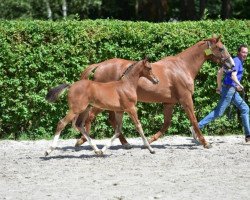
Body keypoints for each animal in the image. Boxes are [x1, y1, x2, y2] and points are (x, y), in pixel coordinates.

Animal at [75, 36, 234, 148]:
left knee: (111, 120)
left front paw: (150, 140)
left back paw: (125, 143)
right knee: (90, 117)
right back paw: (82, 140)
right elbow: (193, 120)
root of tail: (101, 65)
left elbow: (166, 124)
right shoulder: (186, 99)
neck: (182, 67)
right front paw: (205, 142)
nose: (231, 65)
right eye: (221, 48)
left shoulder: (169, 103)